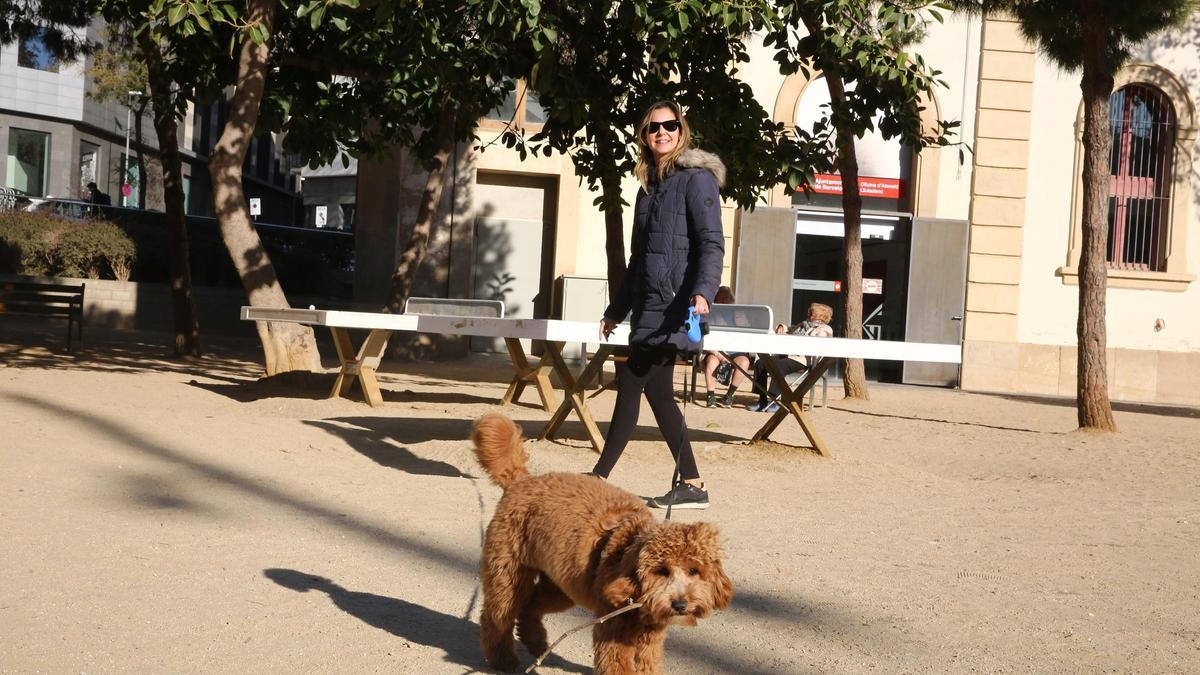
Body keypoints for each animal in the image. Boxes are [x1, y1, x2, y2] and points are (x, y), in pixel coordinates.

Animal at [468, 413, 729, 667]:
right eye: (661, 571)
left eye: (694, 571)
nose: (680, 605)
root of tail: (520, 479)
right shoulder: (614, 633)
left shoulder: (650, 639)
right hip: (507, 574)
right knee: (496, 616)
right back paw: (503, 659)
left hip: (561, 586)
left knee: (530, 606)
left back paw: (537, 645)